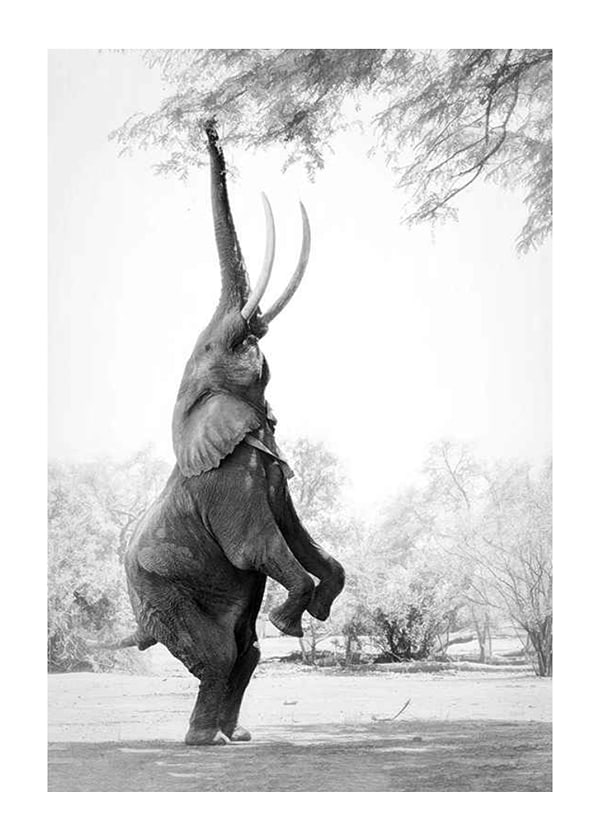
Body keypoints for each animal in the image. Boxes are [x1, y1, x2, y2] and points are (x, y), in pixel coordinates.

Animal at [123, 121, 345, 746]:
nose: (210, 125)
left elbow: (303, 540)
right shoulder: (226, 480)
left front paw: (316, 611)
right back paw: (203, 741)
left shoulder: (268, 469)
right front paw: (290, 621)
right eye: (212, 347)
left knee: (245, 654)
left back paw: (232, 737)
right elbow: (258, 546)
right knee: (220, 655)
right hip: (161, 591)